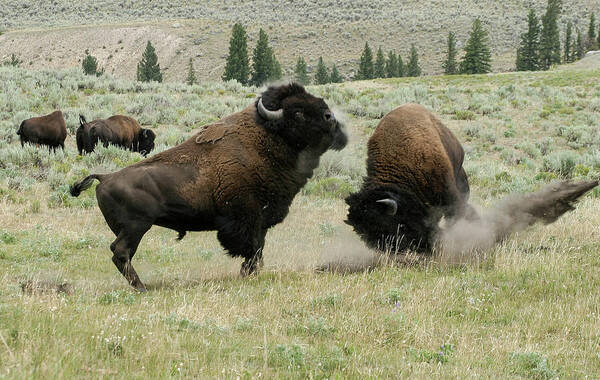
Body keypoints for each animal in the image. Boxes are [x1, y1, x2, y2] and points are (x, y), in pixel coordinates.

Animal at [69, 83, 346, 290]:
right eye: (297, 112)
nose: (331, 118)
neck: (267, 139)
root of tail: (105, 177)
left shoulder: (260, 220)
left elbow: (259, 247)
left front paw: (252, 272)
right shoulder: (247, 216)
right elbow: (253, 247)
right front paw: (248, 274)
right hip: (136, 226)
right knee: (121, 252)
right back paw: (142, 287)